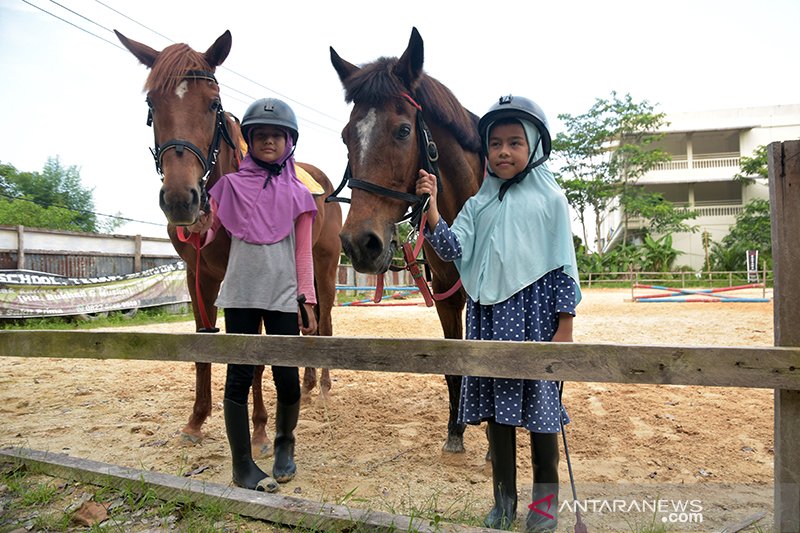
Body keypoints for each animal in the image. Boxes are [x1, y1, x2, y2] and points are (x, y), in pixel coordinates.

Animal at [117, 29, 342, 454]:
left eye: (214, 104)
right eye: (152, 103)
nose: (181, 199)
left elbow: (254, 353)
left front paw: (259, 431)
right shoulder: (198, 276)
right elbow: (204, 346)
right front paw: (196, 422)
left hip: (324, 268)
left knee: (323, 325)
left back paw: (321, 389)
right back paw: (305, 387)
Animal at [330, 27, 484, 450]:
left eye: (403, 130)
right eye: (346, 136)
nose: (359, 243)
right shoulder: (447, 297)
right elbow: (454, 365)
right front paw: (455, 432)